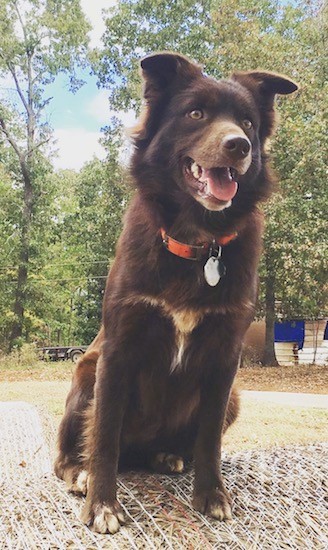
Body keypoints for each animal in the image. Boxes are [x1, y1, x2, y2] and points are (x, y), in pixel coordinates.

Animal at [54, 51, 298, 536]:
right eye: (196, 114)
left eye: (247, 122)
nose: (239, 145)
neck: (198, 242)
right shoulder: (118, 348)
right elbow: (104, 434)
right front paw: (102, 504)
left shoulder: (226, 358)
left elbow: (209, 440)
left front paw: (212, 494)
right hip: (86, 372)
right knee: (72, 455)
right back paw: (81, 473)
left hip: (235, 398)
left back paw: (167, 456)